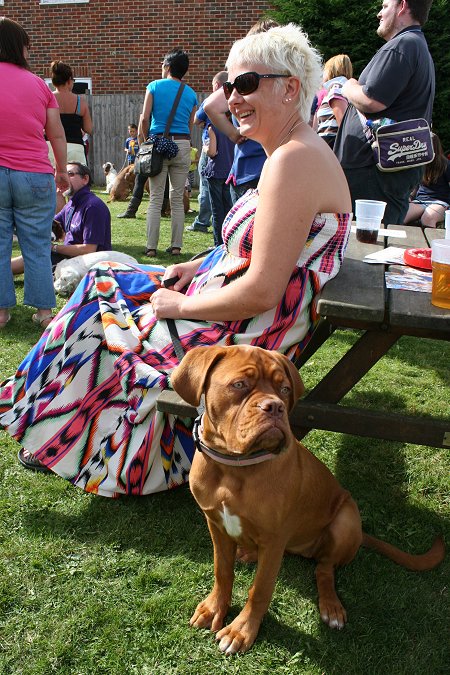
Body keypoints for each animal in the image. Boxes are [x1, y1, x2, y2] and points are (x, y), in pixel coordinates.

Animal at [171, 346, 444, 652]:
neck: (234, 468)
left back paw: (331, 606)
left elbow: (260, 588)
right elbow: (222, 570)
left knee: (324, 569)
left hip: (345, 520)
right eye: (239, 385)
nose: (275, 407)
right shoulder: (216, 525)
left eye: (285, 389)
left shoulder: (274, 539)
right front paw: (214, 608)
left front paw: (241, 630)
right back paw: (248, 552)